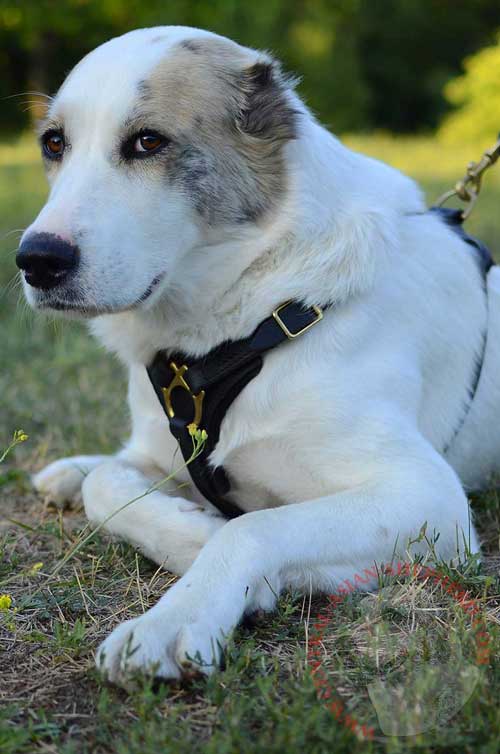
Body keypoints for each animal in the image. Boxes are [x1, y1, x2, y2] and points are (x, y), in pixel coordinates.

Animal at [16, 26, 500, 684]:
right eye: (54, 143)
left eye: (148, 141)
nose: (36, 260)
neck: (261, 312)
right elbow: (110, 488)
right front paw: (190, 532)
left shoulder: (429, 498)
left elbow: (251, 528)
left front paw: (179, 612)